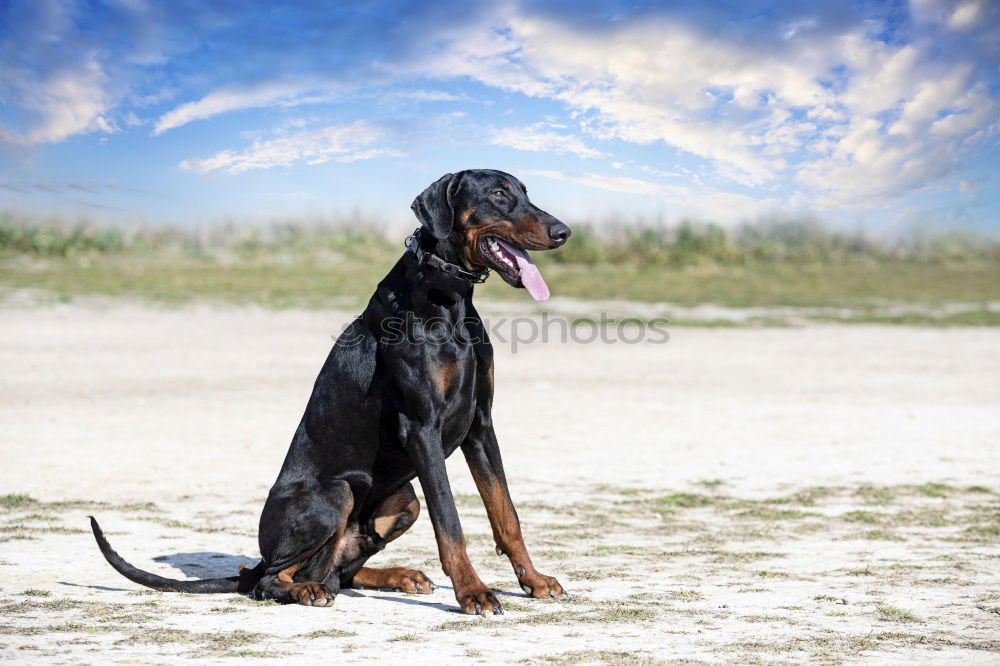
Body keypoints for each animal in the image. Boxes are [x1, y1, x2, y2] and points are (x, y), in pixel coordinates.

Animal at [92, 169, 572, 616]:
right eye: (498, 194)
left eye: (524, 191)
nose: (563, 232)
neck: (448, 296)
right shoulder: (422, 429)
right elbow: (450, 523)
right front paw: (472, 592)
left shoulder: (480, 426)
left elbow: (506, 513)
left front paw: (533, 579)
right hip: (336, 494)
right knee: (270, 579)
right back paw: (305, 590)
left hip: (404, 501)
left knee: (338, 572)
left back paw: (398, 575)